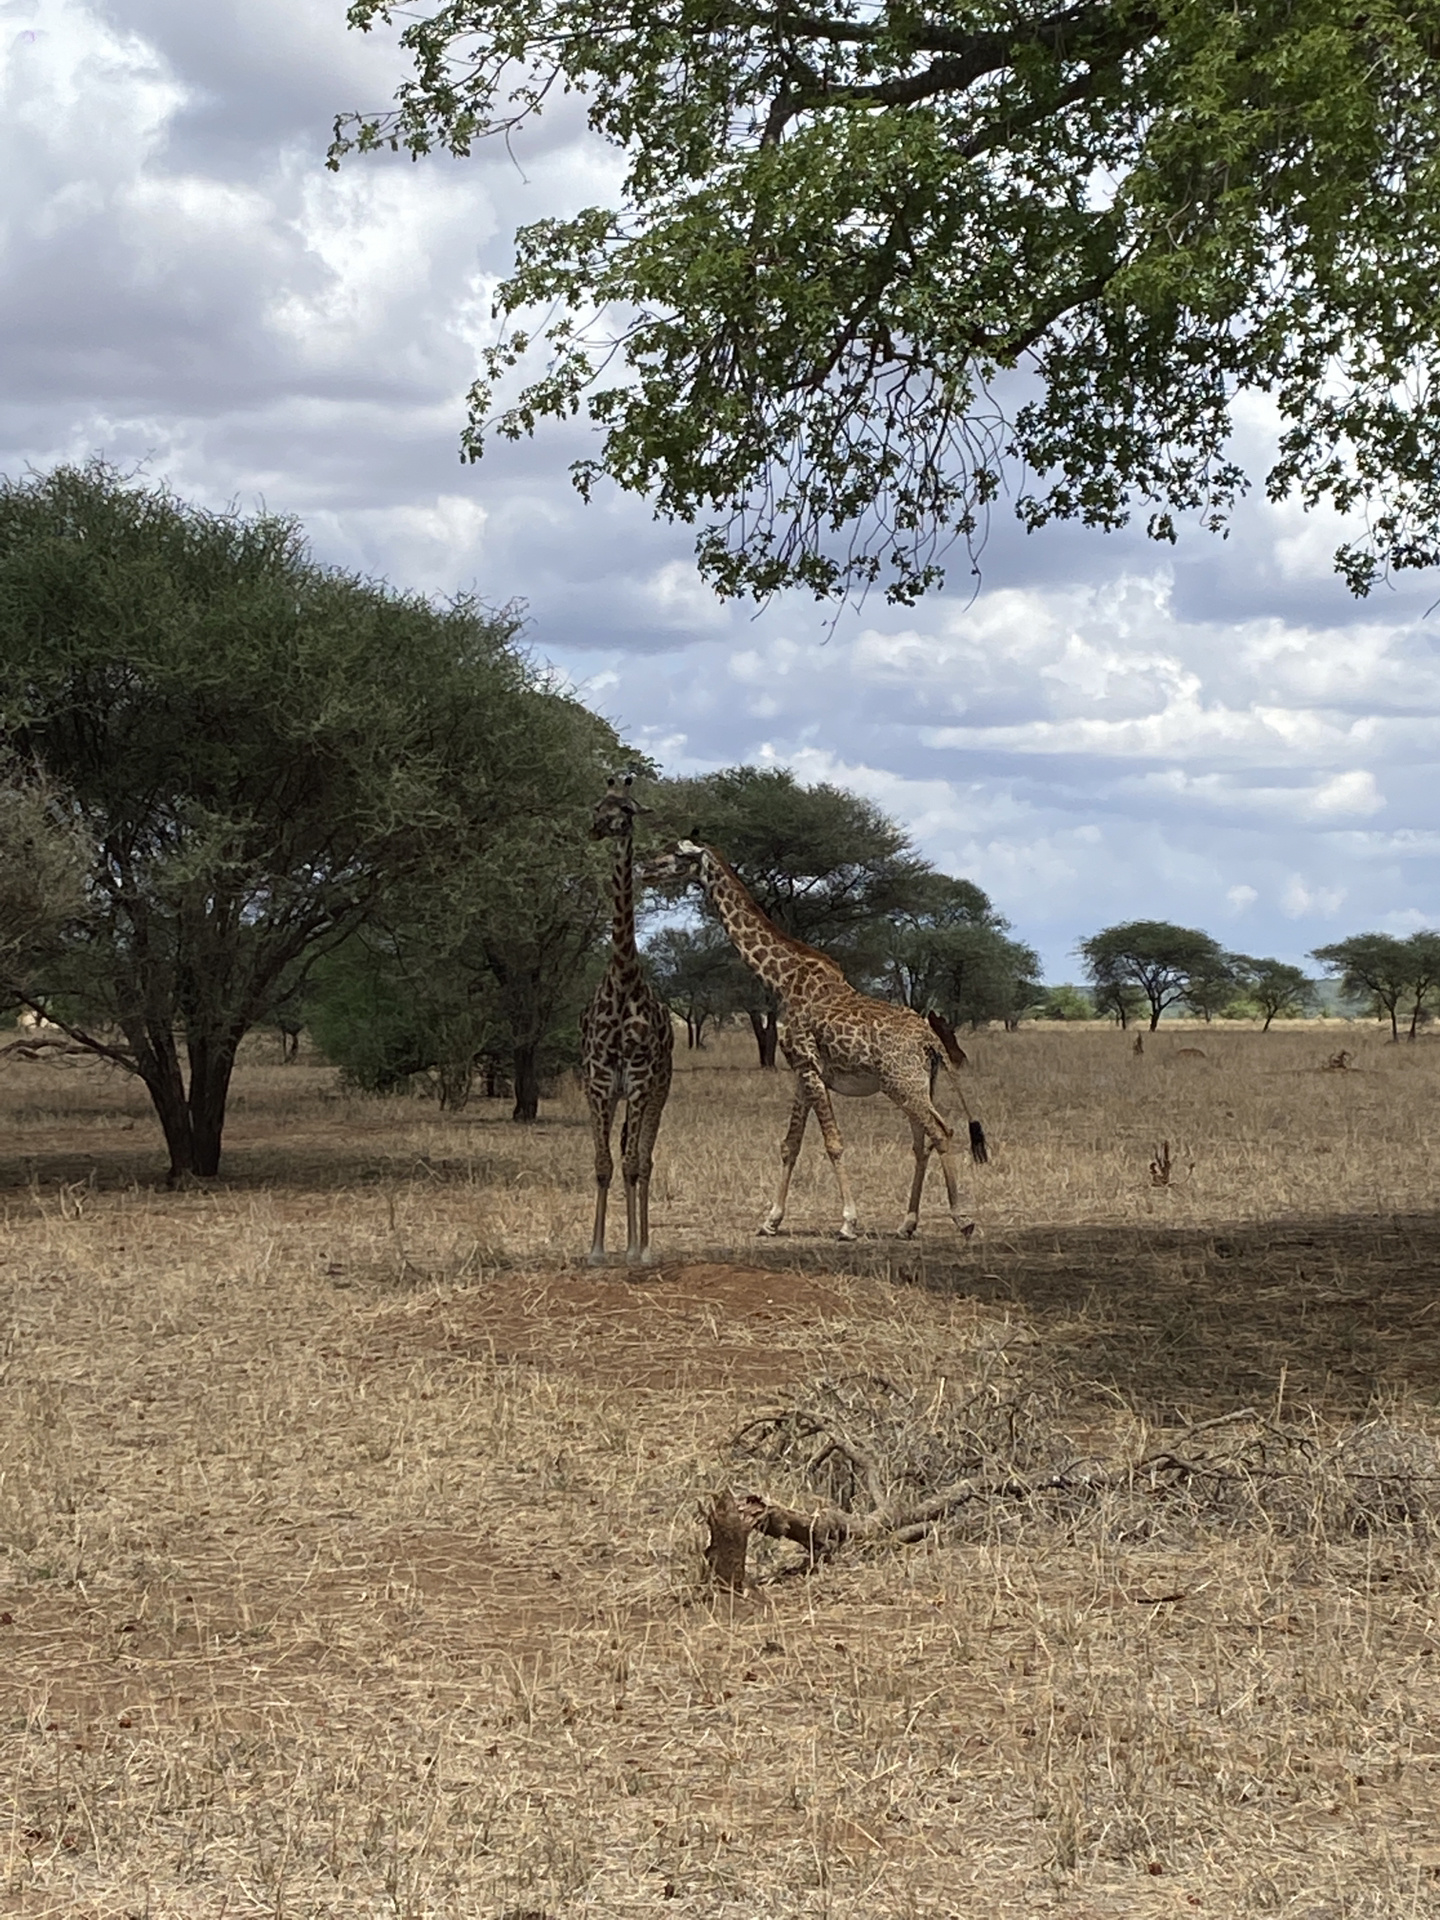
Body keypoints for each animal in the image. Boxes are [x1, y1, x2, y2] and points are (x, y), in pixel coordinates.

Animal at [641, 840, 990, 1244]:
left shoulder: (808, 1066)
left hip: (903, 1083)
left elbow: (833, 1143)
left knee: (941, 1131)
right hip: (917, 1084)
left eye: (678, 855)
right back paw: (907, 1224)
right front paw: (770, 1220)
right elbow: (789, 1144)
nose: (645, 869)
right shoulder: (803, 1071)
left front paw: (848, 1223)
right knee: (923, 1141)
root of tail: (930, 1039)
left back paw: (962, 1220)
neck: (782, 978)